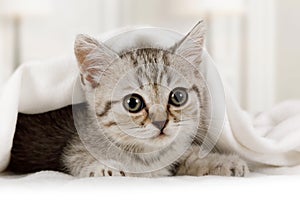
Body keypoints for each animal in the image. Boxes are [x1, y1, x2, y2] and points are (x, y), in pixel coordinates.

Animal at [8, 21, 250, 177]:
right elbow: (81, 159)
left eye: (178, 97)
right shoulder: (74, 148)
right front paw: (106, 168)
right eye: (133, 103)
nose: (160, 122)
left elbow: (187, 156)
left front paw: (223, 161)